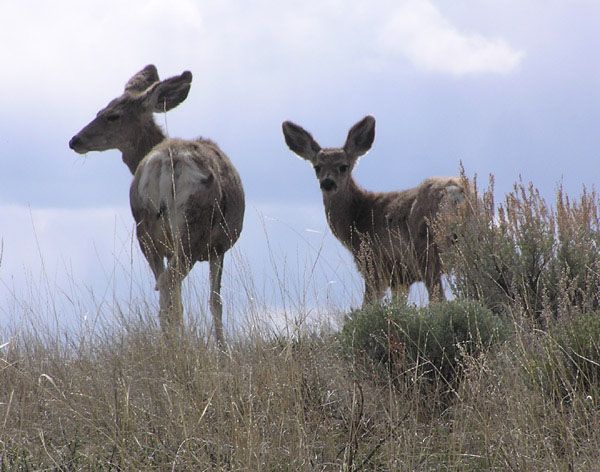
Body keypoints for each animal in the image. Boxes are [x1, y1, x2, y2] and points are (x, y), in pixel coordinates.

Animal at [71, 64, 246, 344]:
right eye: (101, 112)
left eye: (111, 115)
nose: (75, 140)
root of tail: (166, 160)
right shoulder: (219, 245)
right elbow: (216, 301)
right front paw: (222, 348)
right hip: (192, 228)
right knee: (170, 282)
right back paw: (179, 342)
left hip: (144, 227)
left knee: (164, 285)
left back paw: (169, 341)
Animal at [282, 115, 464, 304]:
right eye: (317, 167)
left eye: (343, 166)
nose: (327, 183)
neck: (357, 217)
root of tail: (454, 191)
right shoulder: (400, 279)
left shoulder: (373, 264)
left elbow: (368, 305)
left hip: (427, 248)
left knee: (438, 299)